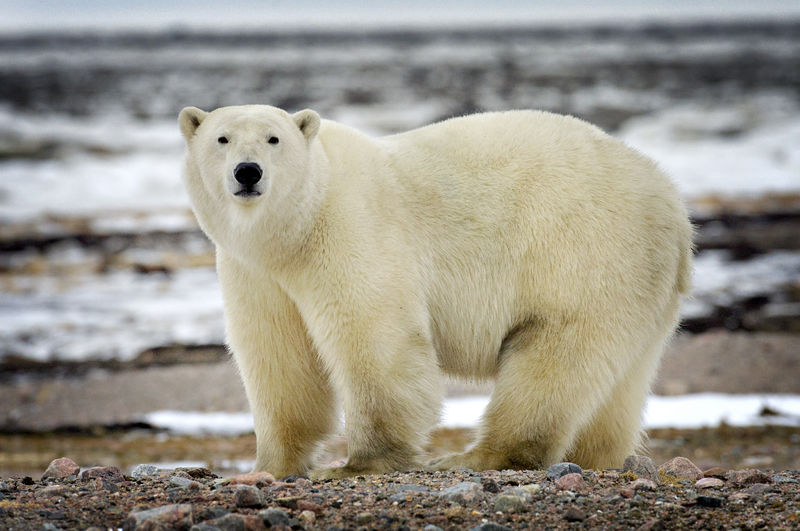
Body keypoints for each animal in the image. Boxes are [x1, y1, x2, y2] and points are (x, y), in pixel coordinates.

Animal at [178, 106, 692, 480]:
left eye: (273, 139)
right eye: (222, 139)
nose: (248, 172)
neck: (294, 230)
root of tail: (673, 204)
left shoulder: (353, 229)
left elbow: (374, 336)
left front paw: (357, 464)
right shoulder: (254, 271)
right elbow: (277, 357)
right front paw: (264, 468)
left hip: (584, 255)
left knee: (553, 359)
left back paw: (475, 457)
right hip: (638, 287)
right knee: (618, 385)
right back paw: (597, 457)